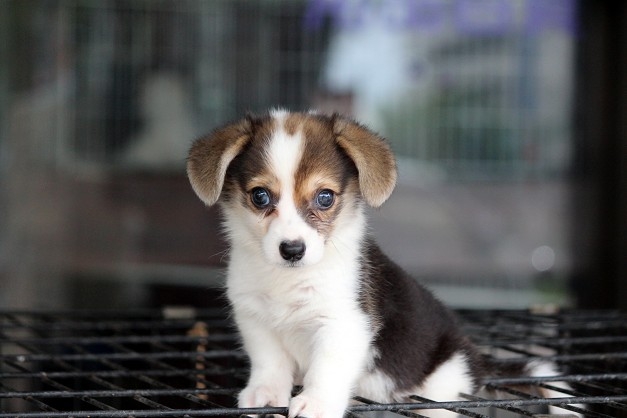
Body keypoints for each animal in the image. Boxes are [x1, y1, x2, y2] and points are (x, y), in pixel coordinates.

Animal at [187, 110, 580, 418]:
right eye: (260, 196)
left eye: (325, 197)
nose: (292, 250)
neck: (288, 280)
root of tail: (476, 363)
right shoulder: (254, 318)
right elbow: (269, 363)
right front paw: (265, 394)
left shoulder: (344, 324)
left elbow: (326, 370)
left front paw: (316, 403)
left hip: (440, 390)